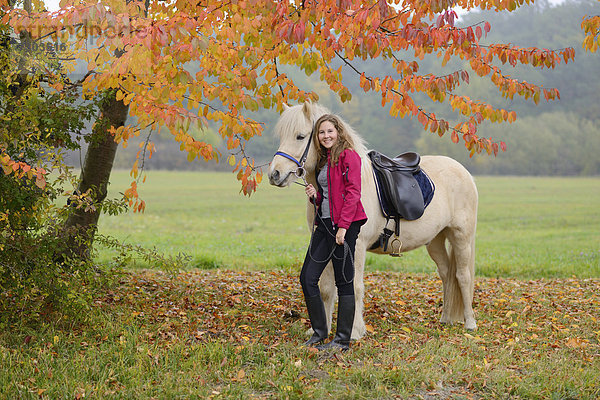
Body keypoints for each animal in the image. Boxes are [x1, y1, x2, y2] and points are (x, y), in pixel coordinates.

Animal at [268, 101, 478, 338]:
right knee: (446, 274)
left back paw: (470, 323)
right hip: (435, 241)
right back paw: (446, 319)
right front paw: (322, 329)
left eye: (300, 136)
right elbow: (327, 288)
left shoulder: (356, 246)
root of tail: (464, 172)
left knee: (462, 276)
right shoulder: (327, 243)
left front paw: (354, 331)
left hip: (461, 237)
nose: (274, 174)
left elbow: (354, 286)